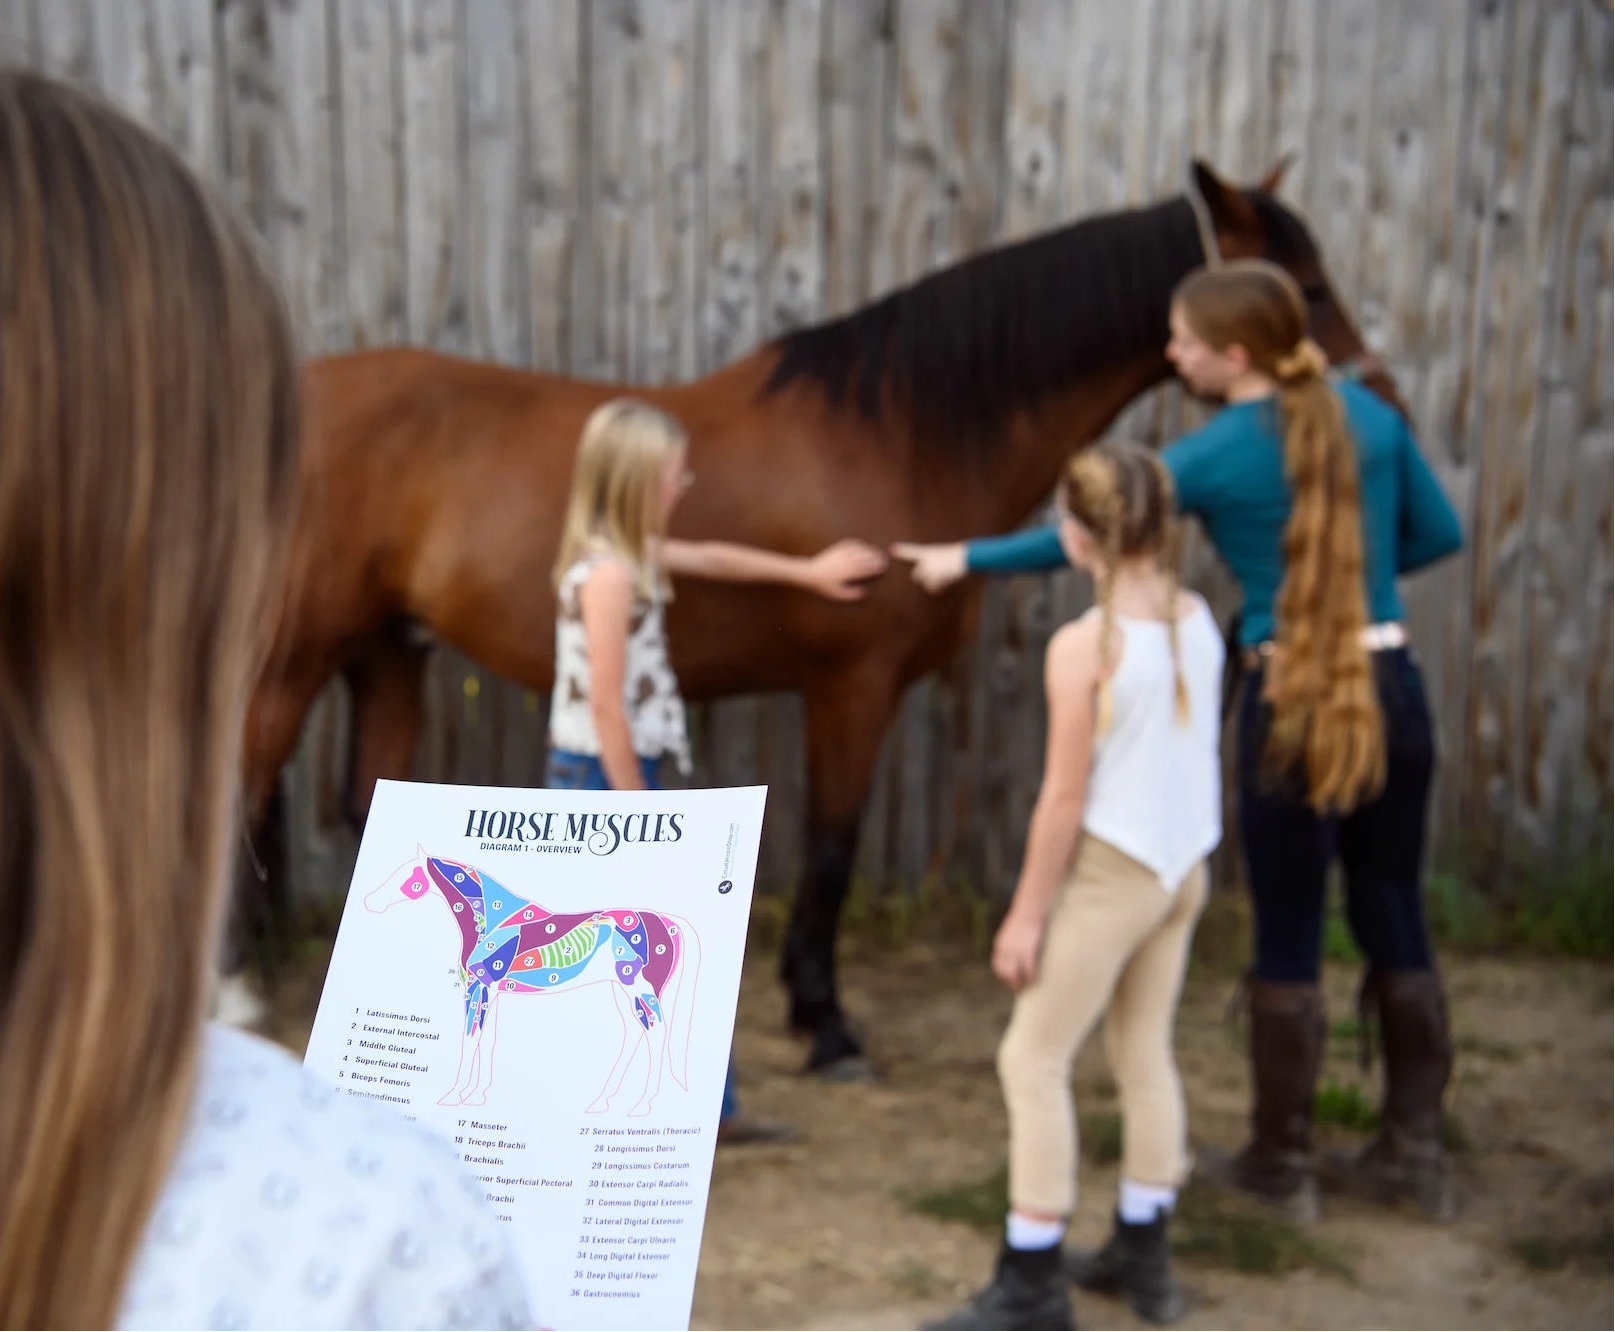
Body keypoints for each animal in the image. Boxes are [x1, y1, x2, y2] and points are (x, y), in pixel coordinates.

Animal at [242, 158, 1406, 1081]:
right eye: (1299, 288)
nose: (1375, 397)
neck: (905, 433)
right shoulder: (852, 688)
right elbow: (836, 846)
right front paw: (828, 1025)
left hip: (386, 654)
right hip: (293, 658)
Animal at [364, 848, 699, 1114]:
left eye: (407, 875)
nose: (368, 901)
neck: (493, 921)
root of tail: (669, 922)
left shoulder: (477, 988)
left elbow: (469, 1040)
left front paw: (453, 1096)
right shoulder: (492, 992)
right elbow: (487, 1040)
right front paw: (476, 1096)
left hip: (639, 989)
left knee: (656, 1034)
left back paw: (641, 1105)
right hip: (621, 989)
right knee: (635, 1033)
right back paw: (601, 1102)